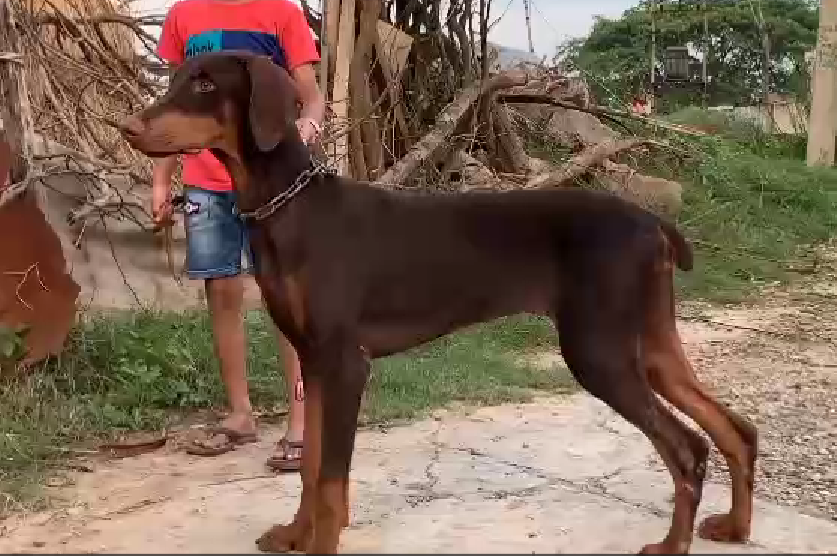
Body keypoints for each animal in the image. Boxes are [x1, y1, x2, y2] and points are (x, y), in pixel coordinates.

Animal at [122, 51, 756, 552]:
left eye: (206, 83)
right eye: (177, 76)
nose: (128, 127)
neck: (290, 207)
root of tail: (653, 223)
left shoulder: (345, 363)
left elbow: (330, 480)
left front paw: (319, 541)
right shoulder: (314, 360)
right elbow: (311, 470)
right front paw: (295, 535)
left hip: (598, 352)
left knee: (687, 448)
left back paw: (672, 545)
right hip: (649, 346)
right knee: (735, 429)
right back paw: (735, 527)